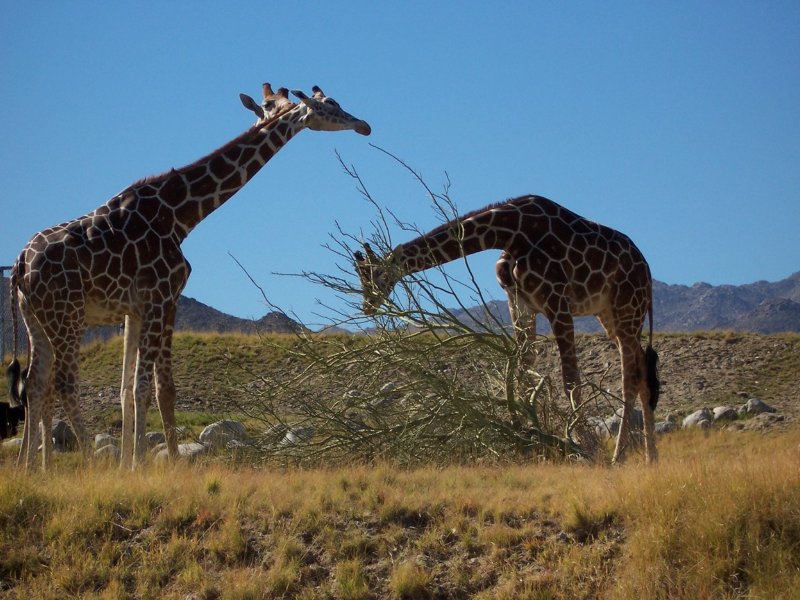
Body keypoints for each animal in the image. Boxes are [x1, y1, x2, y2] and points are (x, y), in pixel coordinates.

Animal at [7, 82, 370, 472]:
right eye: (331, 103)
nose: (363, 125)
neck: (180, 215)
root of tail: (19, 265)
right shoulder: (164, 296)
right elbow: (154, 387)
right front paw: (150, 465)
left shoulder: (134, 310)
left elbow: (129, 388)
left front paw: (134, 463)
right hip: (67, 315)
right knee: (64, 382)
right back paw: (88, 462)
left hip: (36, 319)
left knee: (35, 382)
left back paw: (28, 467)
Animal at [354, 197, 660, 464]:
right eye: (361, 277)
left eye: (377, 275)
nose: (367, 306)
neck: (509, 233)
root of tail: (646, 268)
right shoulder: (520, 303)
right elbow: (522, 371)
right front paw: (528, 439)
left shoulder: (556, 300)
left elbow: (571, 380)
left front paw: (586, 447)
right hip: (608, 314)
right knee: (642, 373)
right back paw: (650, 458)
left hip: (627, 307)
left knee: (630, 378)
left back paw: (618, 456)